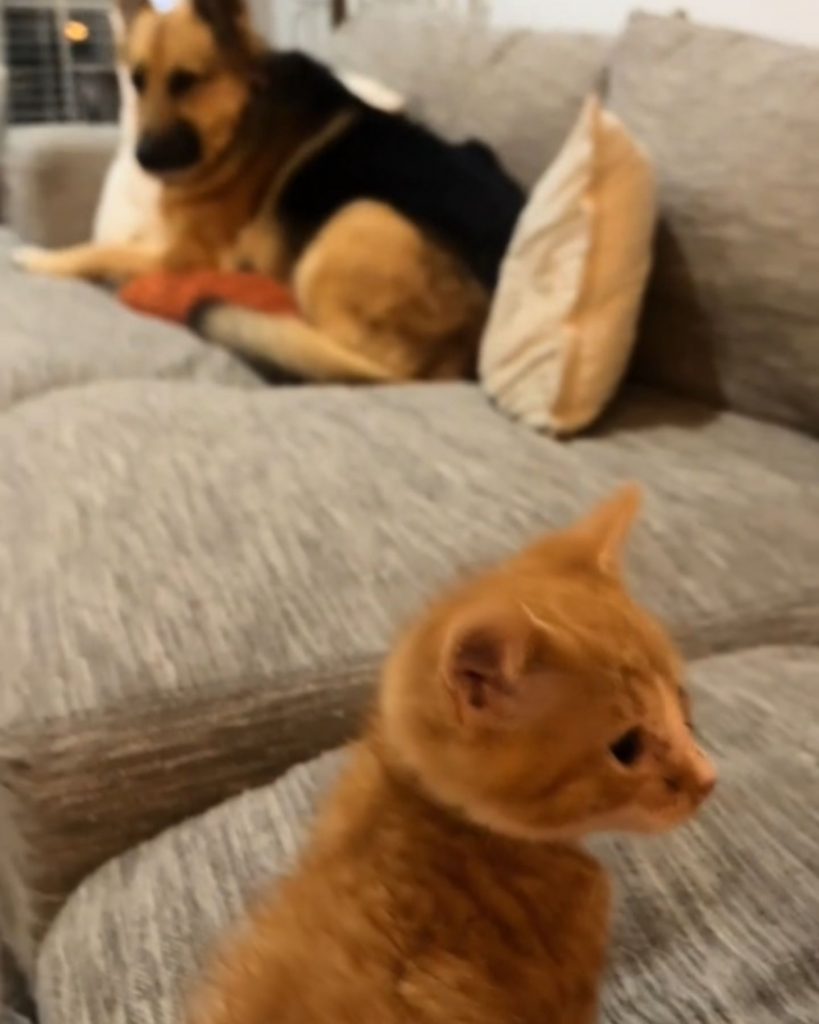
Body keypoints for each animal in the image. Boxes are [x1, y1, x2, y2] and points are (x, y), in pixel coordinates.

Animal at [17, 0, 524, 382]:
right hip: (470, 153)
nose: (142, 157)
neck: (243, 116)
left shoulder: (186, 256)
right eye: (138, 81)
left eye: (187, 81)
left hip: (359, 216)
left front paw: (40, 260)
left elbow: (99, 251)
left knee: (361, 362)